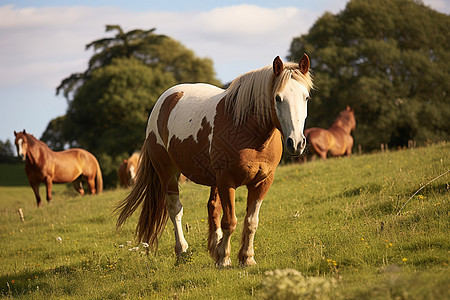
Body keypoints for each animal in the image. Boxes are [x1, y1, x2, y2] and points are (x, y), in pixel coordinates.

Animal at [116, 54, 312, 268]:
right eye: (277, 97)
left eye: (306, 97)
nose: (296, 143)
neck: (246, 131)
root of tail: (165, 100)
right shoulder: (227, 181)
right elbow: (230, 221)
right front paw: (225, 259)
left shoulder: (261, 182)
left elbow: (251, 221)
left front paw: (246, 258)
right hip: (168, 173)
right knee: (175, 210)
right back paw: (182, 251)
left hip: (213, 181)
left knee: (213, 208)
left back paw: (214, 249)